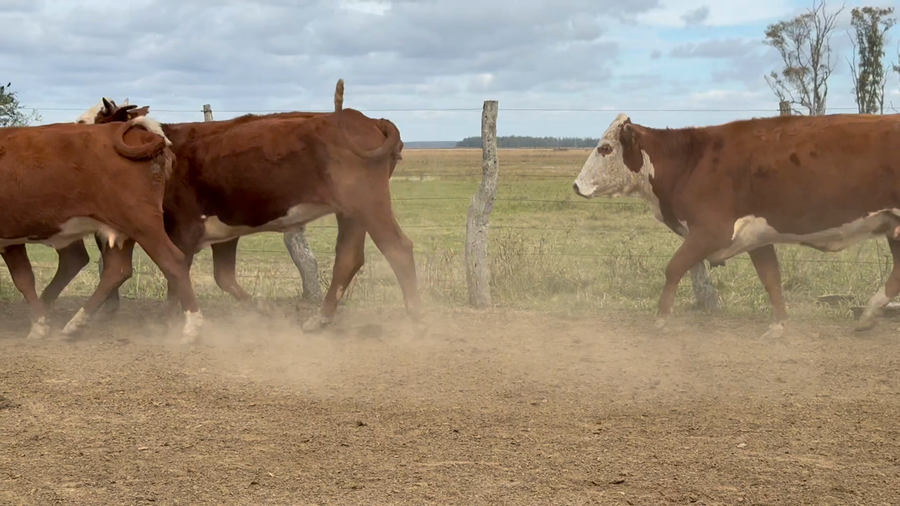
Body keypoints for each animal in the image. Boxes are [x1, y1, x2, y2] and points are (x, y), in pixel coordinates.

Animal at [0, 116, 203, 342]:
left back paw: (193, 327)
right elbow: (24, 278)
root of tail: (144, 135)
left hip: (143, 223)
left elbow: (22, 279)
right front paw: (39, 324)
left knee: (173, 261)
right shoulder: (11, 239)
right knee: (117, 270)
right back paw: (75, 324)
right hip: (122, 230)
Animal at [42, 82, 418, 332]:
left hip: (368, 203)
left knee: (397, 248)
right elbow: (223, 278)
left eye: (88, 129)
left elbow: (175, 275)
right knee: (349, 259)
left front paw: (169, 320)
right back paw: (319, 319)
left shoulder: (184, 228)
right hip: (350, 211)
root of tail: (369, 120)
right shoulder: (223, 231)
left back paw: (415, 317)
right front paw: (261, 310)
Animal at [573, 112, 900, 338]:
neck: (692, 161)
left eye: (605, 148)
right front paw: (779, 326)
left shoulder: (711, 231)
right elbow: (771, 279)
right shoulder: (757, 238)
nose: (576, 185)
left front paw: (661, 319)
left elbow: (674, 268)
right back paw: (868, 316)